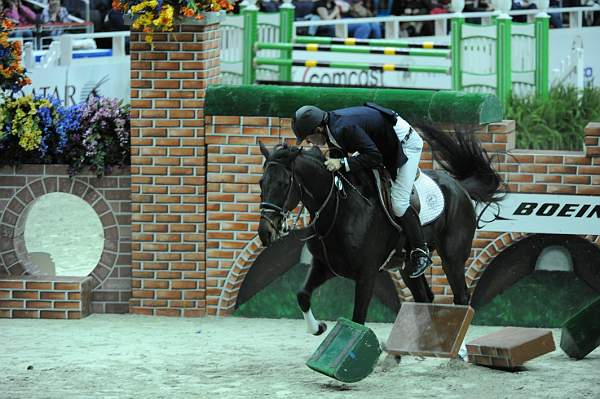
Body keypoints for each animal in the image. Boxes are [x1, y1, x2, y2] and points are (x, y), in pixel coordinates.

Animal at [255, 126, 504, 336]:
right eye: (261, 183)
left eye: (283, 184)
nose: (265, 232)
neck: (339, 210)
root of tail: (459, 187)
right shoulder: (325, 266)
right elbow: (303, 295)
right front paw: (317, 328)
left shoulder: (366, 275)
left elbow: (357, 319)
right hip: (408, 266)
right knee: (424, 296)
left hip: (452, 257)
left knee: (461, 297)